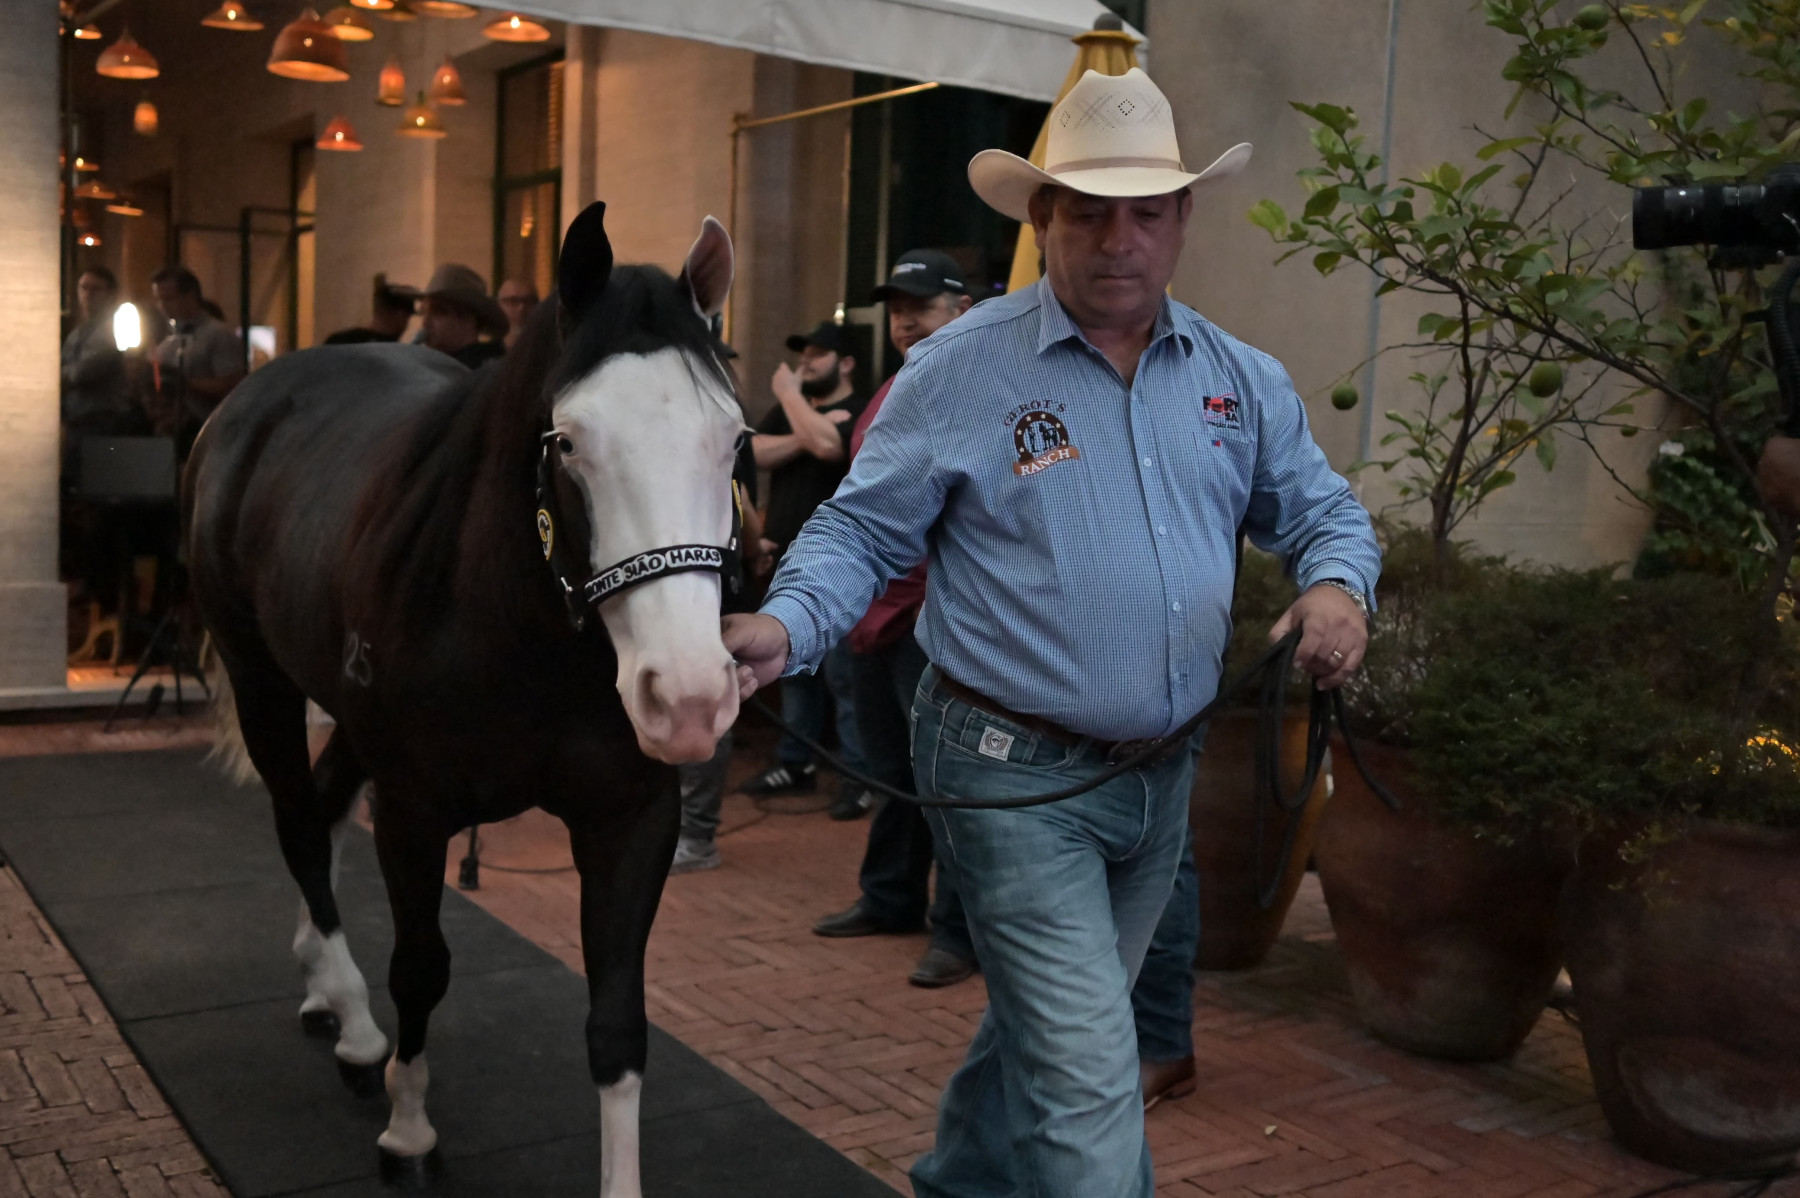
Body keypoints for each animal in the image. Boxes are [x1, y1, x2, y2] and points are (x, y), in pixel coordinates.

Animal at [184, 200, 745, 1187]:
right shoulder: (414, 809)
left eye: (735, 441)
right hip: (261, 679)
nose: (686, 700)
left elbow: (618, 1023)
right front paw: (409, 1129)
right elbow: (421, 966)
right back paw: (356, 1025)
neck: (525, 632)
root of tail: (246, 401)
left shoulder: (632, 816)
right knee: (300, 823)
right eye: (570, 442)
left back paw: (324, 989)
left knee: (323, 807)